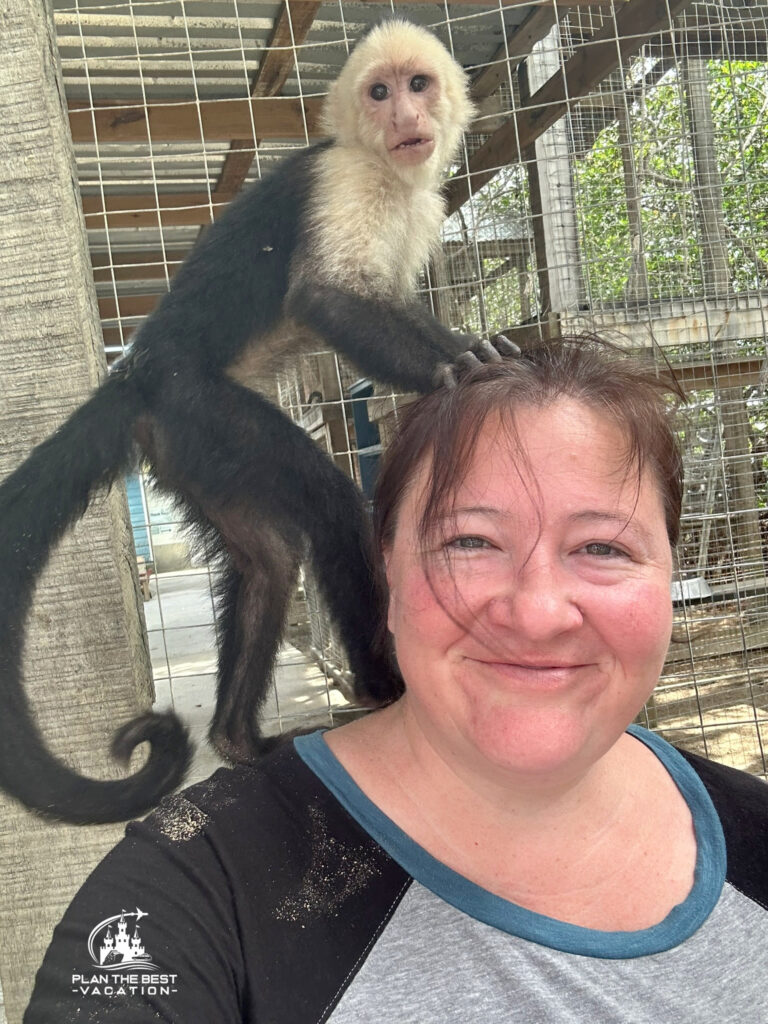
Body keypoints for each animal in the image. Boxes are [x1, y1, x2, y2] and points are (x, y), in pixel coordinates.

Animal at [1, 18, 518, 823]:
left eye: (418, 84)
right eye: (379, 91)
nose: (405, 115)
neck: (385, 168)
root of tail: (136, 372)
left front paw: (477, 351)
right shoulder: (345, 180)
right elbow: (326, 299)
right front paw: (460, 365)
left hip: (191, 449)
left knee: (269, 558)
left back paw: (238, 740)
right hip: (202, 407)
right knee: (327, 504)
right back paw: (381, 691)